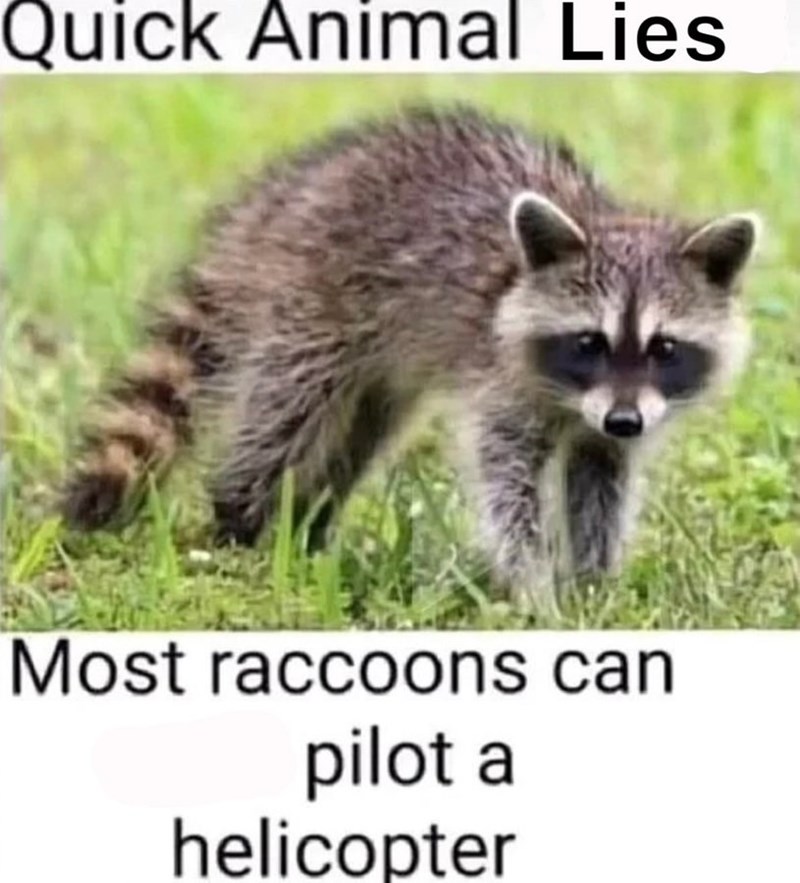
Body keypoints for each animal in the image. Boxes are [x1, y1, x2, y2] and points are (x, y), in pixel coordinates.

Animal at [62, 105, 760, 612]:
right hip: (313, 301)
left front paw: (593, 584)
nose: (624, 420)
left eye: (664, 349)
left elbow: (601, 483)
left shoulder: (611, 423)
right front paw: (533, 584)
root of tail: (290, 189)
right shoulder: (501, 380)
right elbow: (505, 481)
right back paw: (239, 517)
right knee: (284, 412)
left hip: (376, 368)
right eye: (589, 342)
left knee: (356, 436)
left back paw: (308, 526)